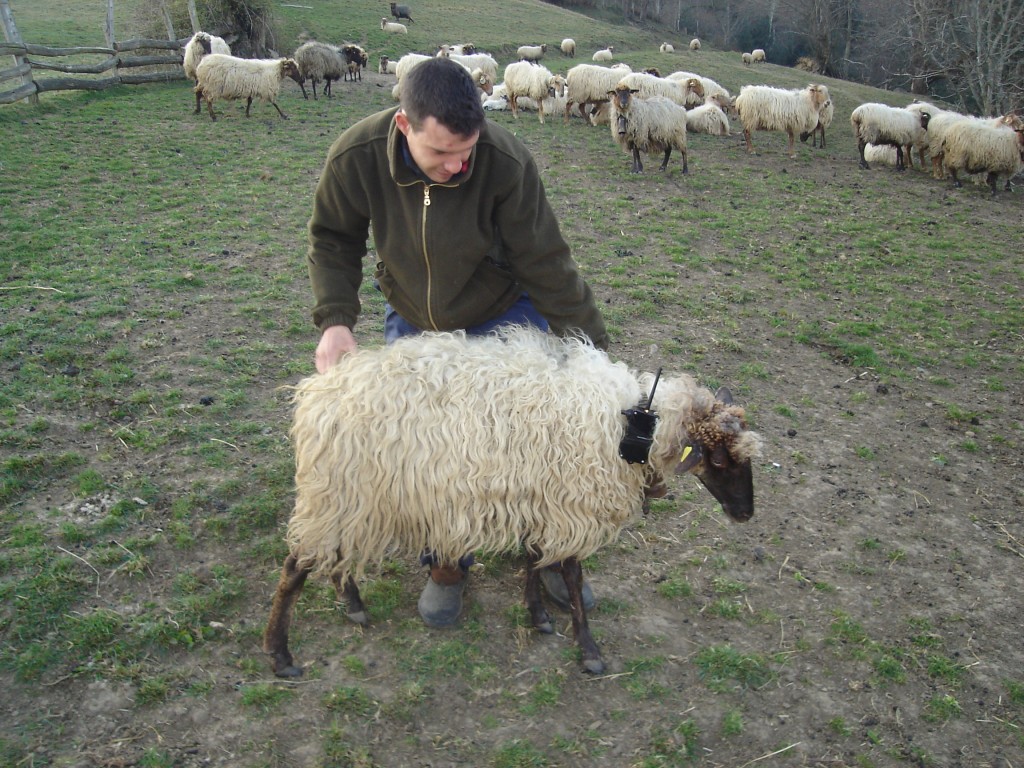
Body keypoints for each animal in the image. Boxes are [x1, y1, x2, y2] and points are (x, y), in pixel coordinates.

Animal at [264, 327, 761, 675]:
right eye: (718, 459)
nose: (745, 514)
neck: (633, 426)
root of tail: (316, 394)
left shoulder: (541, 494)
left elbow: (534, 558)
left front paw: (538, 614)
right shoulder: (570, 501)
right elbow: (570, 572)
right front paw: (588, 649)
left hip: (352, 499)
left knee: (332, 555)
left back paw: (352, 603)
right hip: (339, 493)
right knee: (294, 567)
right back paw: (280, 654)